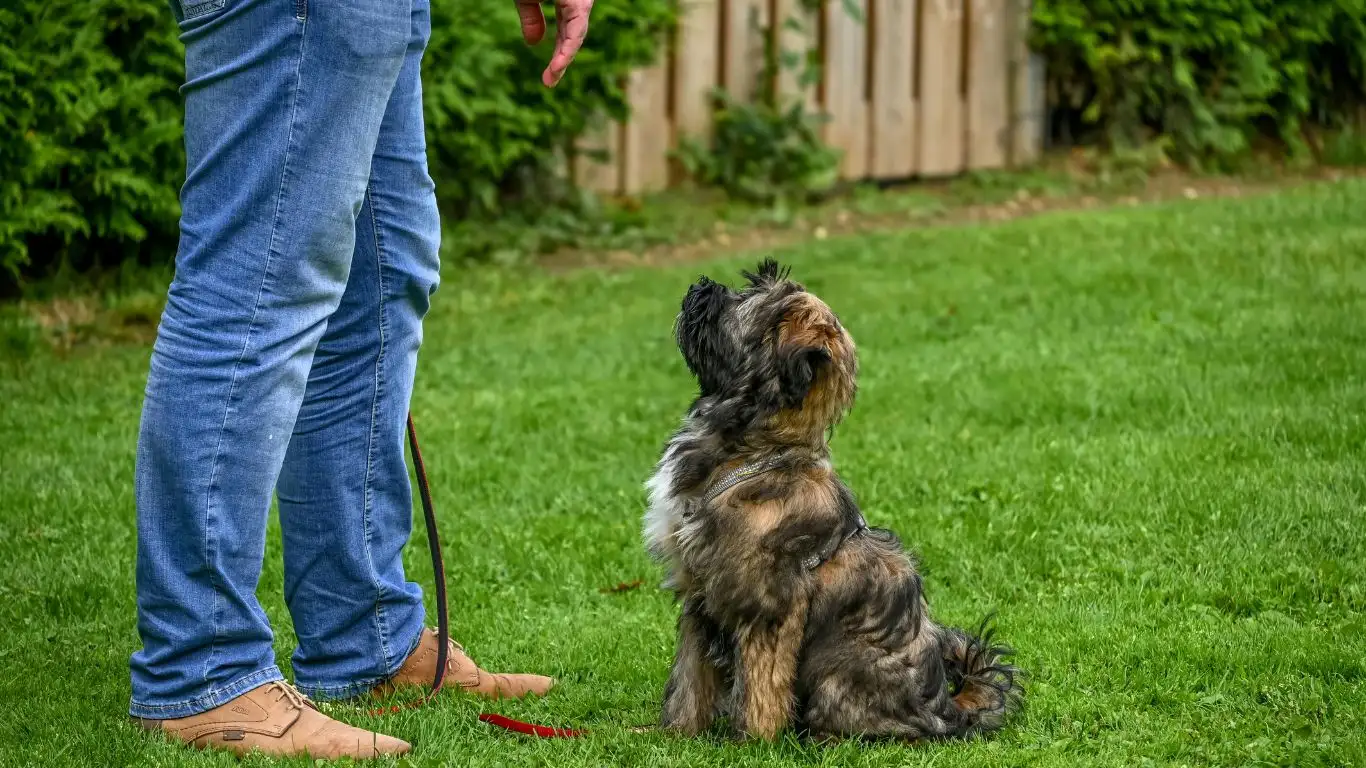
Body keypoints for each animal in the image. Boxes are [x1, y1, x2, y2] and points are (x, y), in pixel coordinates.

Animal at [644, 258, 1021, 743]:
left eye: (743, 303)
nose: (701, 287)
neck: (757, 451)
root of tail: (946, 710)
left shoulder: (767, 608)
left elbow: (762, 686)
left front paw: (752, 743)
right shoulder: (700, 595)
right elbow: (689, 680)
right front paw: (676, 733)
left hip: (834, 674)